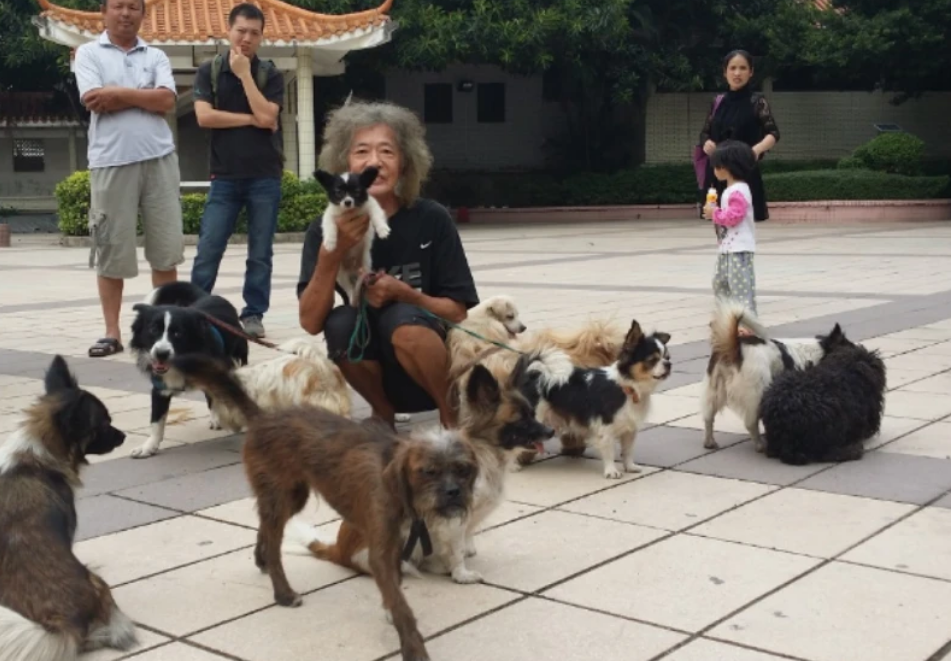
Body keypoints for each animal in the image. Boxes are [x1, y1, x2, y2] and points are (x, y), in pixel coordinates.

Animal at [127, 282, 249, 456]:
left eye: (178, 333)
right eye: (153, 329)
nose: (161, 353)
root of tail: (208, 296)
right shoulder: (159, 386)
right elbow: (156, 420)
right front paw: (148, 447)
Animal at [312, 168, 386, 306]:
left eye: (356, 192)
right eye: (339, 192)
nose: (347, 202)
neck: (349, 212)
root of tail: (353, 270)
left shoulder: (370, 205)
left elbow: (377, 214)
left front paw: (383, 229)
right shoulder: (330, 215)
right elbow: (329, 226)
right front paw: (330, 243)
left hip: (364, 267)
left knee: (358, 286)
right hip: (342, 276)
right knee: (349, 290)